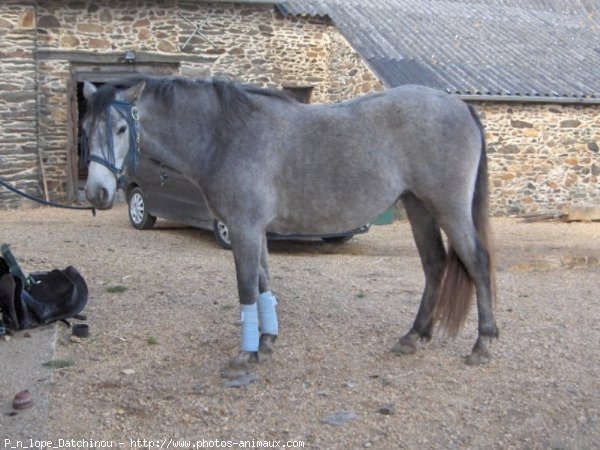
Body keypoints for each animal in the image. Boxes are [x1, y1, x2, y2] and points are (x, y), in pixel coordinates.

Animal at [83, 75, 496, 378]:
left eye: (121, 128)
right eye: (86, 128)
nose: (96, 192)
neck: (225, 136)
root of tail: (459, 104)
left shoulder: (244, 228)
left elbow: (247, 288)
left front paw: (243, 356)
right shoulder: (254, 231)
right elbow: (264, 284)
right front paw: (265, 345)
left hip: (448, 208)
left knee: (477, 262)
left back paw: (483, 345)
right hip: (418, 206)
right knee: (435, 264)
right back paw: (413, 337)